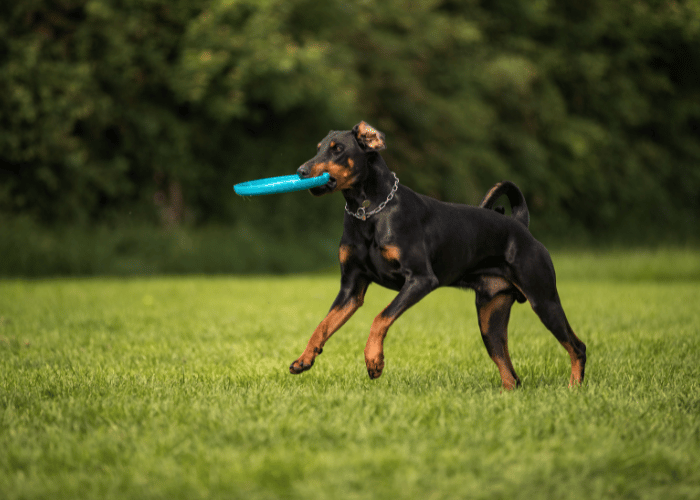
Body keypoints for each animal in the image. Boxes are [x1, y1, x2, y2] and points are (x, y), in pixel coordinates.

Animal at [288, 122, 584, 390]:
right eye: (318, 148)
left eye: (337, 149)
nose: (301, 172)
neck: (368, 211)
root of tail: (521, 225)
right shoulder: (351, 288)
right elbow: (323, 325)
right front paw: (304, 359)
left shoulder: (421, 279)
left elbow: (380, 317)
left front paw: (374, 361)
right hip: (490, 318)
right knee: (511, 375)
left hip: (543, 300)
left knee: (577, 346)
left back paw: (574, 388)